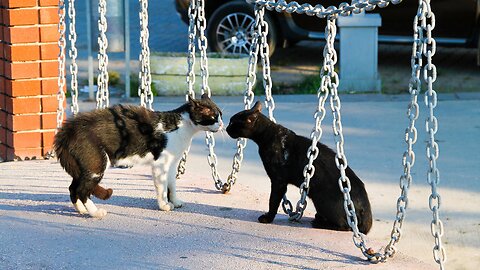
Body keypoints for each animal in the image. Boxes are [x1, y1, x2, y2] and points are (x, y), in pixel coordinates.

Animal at [54, 94, 223, 218]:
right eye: (213, 117)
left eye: (221, 115)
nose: (222, 124)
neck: (183, 128)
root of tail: (67, 131)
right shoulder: (161, 165)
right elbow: (162, 187)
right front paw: (164, 205)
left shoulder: (172, 163)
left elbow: (172, 184)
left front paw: (175, 201)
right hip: (96, 165)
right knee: (82, 190)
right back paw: (95, 212)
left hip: (83, 168)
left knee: (73, 188)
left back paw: (81, 210)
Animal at [227, 101, 374, 234]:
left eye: (233, 123)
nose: (227, 128)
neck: (268, 135)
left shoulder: (278, 181)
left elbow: (273, 201)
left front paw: (268, 218)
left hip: (322, 200)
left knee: (346, 226)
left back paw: (319, 223)